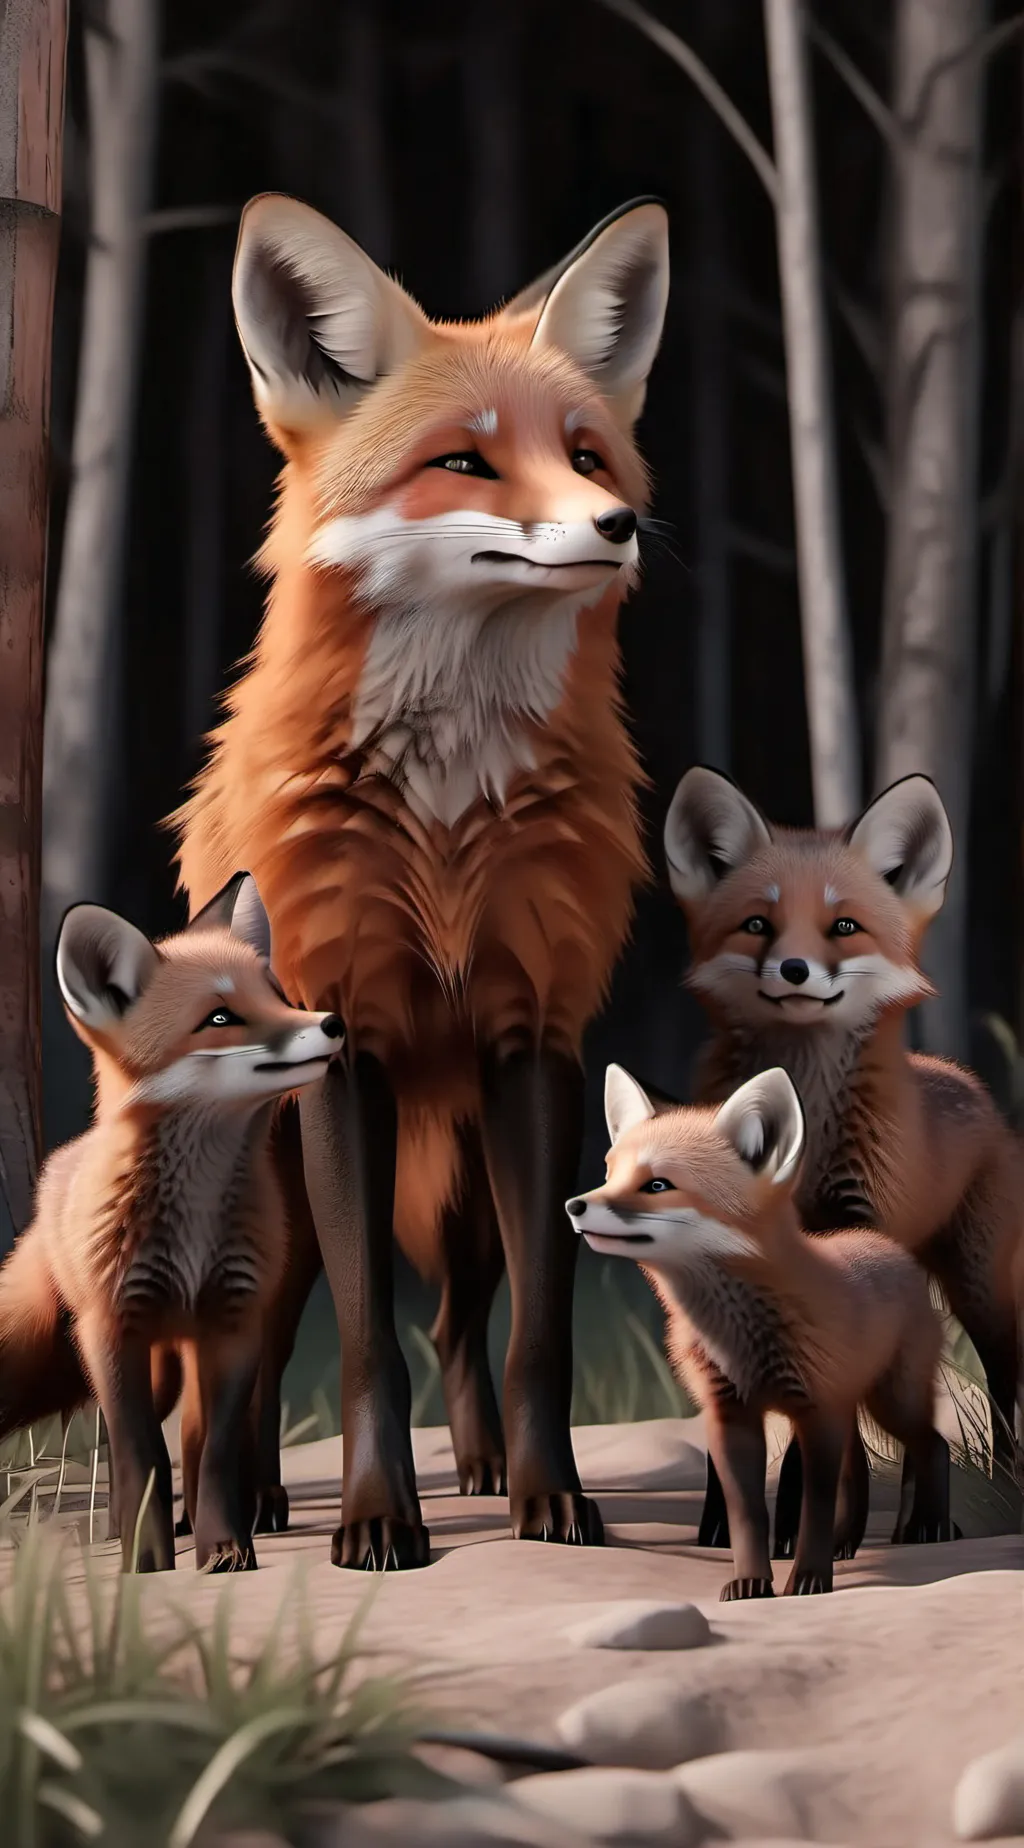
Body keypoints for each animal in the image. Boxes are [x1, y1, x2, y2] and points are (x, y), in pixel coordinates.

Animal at [0, 875, 343, 1572]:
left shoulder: (235, 1325)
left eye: (276, 997)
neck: (193, 1229)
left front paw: (226, 1549)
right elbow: (140, 1456)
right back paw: (121, 1533)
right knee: (128, 1447)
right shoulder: (111, 1332)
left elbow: (211, 1456)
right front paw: (146, 1562)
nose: (331, 1021)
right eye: (220, 1018)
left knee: (185, 1438)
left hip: (177, 1362)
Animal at [171, 193, 671, 1569]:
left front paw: (551, 1502)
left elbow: (539, 1337)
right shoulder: (344, 1050)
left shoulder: (534, 1045)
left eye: (588, 456)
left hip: (462, 1189)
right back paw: (246, 1501)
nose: (615, 529)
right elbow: (359, 1348)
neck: (445, 820)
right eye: (466, 462)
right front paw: (376, 1518)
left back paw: (488, 1468)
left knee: (456, 1321)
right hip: (286, 1182)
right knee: (262, 1340)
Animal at [566, 1065, 953, 1600]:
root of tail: (882, 1243)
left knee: (933, 1445)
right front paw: (751, 1583)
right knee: (860, 1468)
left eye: (658, 1184)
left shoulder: (816, 1411)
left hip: (891, 1399)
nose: (574, 1205)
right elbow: (747, 1515)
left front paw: (809, 1580)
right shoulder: (731, 1414)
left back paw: (927, 1528)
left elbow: (810, 1508)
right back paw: (847, 1542)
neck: (741, 1336)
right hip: (857, 1403)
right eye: (610, 1175)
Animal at [661, 766, 1024, 1555]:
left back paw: (981, 1499)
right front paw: (725, 1526)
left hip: (980, 1288)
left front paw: (795, 1531)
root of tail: (964, 1079)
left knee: (1002, 1389)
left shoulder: (843, 1242)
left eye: (843, 926)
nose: (795, 969)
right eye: (758, 924)